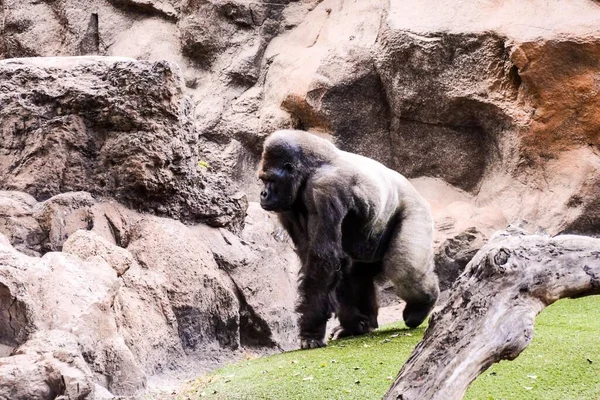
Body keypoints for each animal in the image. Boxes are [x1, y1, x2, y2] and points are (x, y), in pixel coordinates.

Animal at [255, 130, 438, 348]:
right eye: (262, 179)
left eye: (271, 180)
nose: (263, 194)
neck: (310, 169)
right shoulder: (288, 206)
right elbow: (315, 257)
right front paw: (347, 323)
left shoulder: (324, 188)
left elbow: (323, 260)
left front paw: (311, 331)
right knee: (358, 273)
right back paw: (363, 322)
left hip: (417, 210)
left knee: (404, 268)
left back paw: (422, 306)